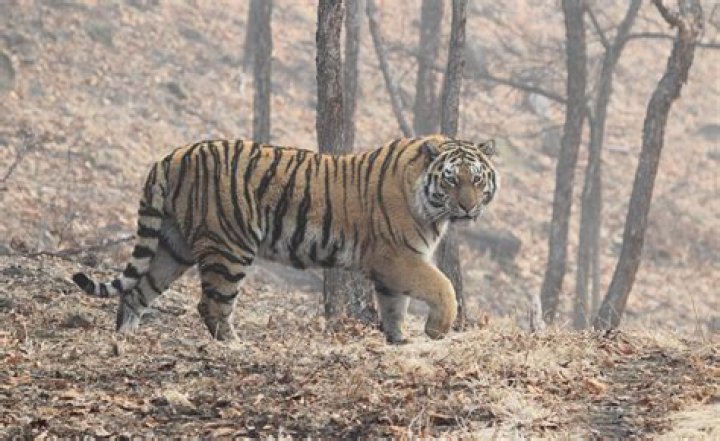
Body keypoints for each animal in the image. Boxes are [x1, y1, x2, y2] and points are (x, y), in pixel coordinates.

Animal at [72, 134, 498, 343]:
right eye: (451, 180)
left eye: (477, 180)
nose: (468, 207)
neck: (429, 203)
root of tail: (170, 156)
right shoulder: (396, 257)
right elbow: (443, 286)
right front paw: (436, 330)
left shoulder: (392, 268)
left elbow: (394, 307)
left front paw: (399, 341)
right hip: (229, 246)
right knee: (211, 305)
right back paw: (236, 347)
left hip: (172, 245)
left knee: (136, 291)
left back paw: (125, 342)